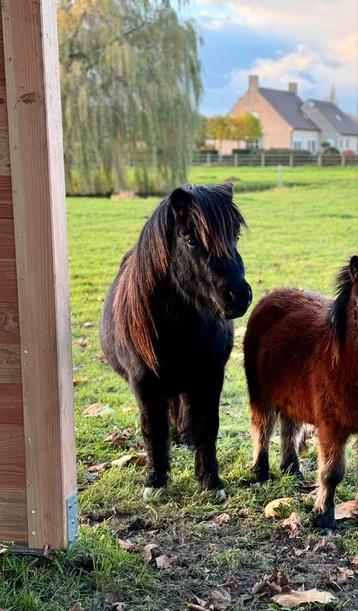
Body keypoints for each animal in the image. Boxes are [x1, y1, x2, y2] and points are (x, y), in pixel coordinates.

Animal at [100, 184, 252, 500]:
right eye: (191, 239)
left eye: (235, 237)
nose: (239, 296)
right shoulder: (143, 382)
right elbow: (153, 429)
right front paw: (155, 481)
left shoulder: (210, 376)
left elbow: (207, 425)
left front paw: (210, 482)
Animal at [243, 256, 358, 528]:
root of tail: (275, 293)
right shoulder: (332, 425)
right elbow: (332, 473)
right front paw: (323, 517)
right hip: (261, 394)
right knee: (262, 428)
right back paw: (260, 472)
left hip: (292, 397)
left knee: (289, 428)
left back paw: (291, 468)